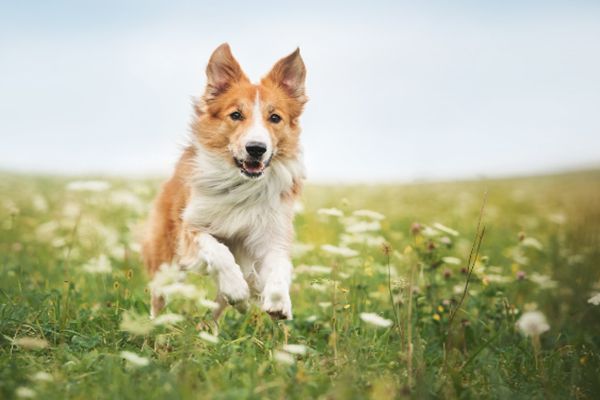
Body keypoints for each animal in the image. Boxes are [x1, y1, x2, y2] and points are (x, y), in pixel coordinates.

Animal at [143, 42, 308, 320]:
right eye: (236, 115)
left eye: (275, 118)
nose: (256, 149)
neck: (242, 184)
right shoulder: (191, 227)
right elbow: (219, 251)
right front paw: (236, 287)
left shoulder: (271, 234)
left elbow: (279, 266)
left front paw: (278, 301)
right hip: (166, 257)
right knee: (159, 295)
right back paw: (155, 325)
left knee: (217, 311)